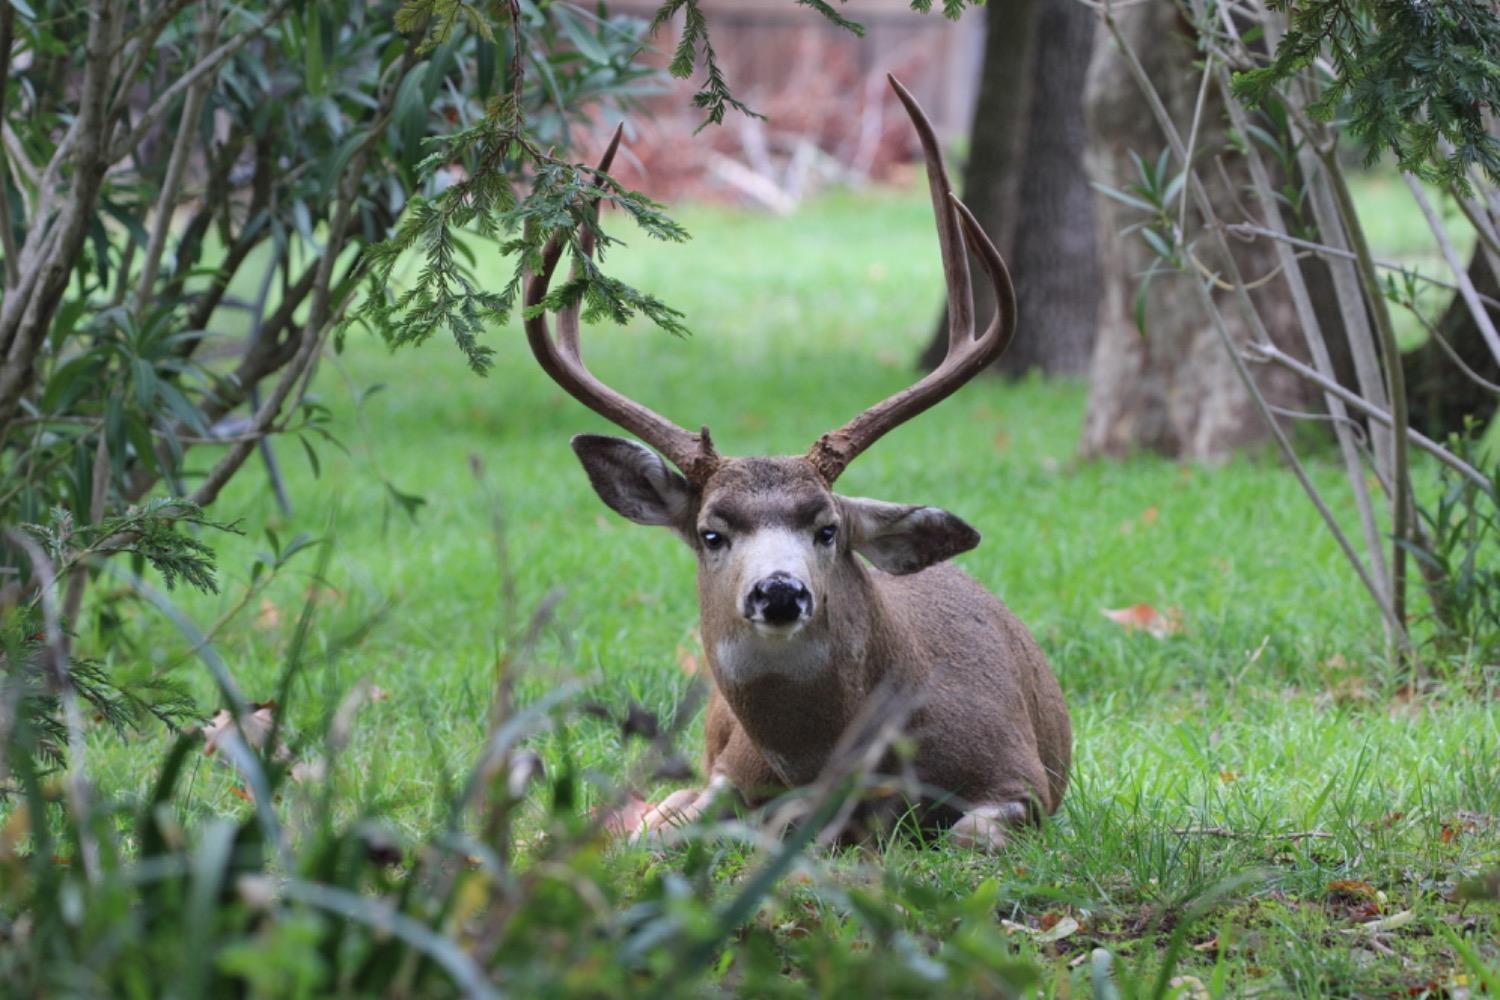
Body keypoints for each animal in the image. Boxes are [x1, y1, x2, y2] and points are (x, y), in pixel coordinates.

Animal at [522, 76, 1074, 851]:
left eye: (828, 529)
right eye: (712, 532)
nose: (779, 592)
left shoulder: (1021, 781)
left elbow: (970, 834)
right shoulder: (732, 778)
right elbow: (671, 830)